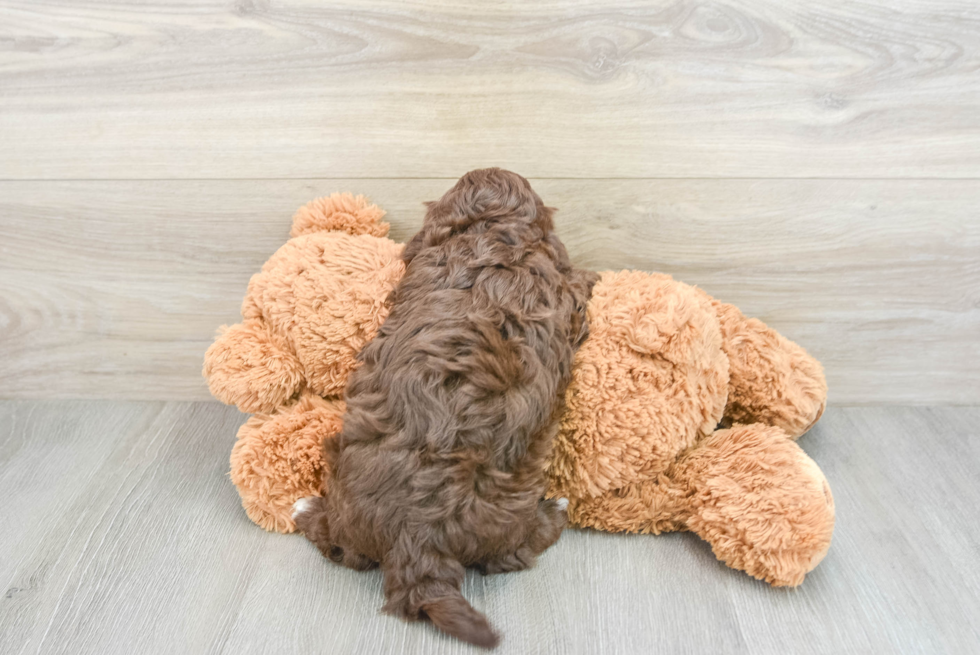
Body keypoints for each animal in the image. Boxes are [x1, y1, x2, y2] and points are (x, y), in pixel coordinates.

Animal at [292, 169, 596, 652]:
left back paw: (304, 508)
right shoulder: (565, 294)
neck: (489, 234)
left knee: (343, 547)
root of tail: (418, 538)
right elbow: (577, 282)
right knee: (518, 550)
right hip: (507, 519)